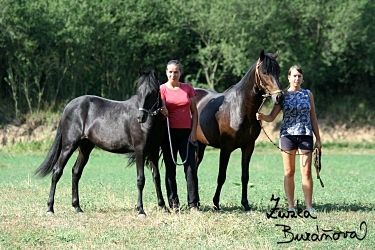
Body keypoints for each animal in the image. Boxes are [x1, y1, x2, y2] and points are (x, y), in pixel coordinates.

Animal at [34, 68, 167, 217]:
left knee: (76, 172)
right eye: (139, 90)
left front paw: (163, 206)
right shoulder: (140, 150)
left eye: (153, 91)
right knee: (57, 171)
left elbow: (157, 177)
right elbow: (140, 179)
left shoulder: (153, 151)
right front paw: (141, 210)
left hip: (85, 147)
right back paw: (50, 208)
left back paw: (77, 207)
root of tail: (68, 106)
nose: (140, 117)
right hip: (68, 146)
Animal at [195, 49, 284, 212]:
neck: (239, 108)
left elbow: (245, 176)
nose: (279, 97)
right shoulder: (226, 148)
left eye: (278, 71)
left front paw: (245, 204)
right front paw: (216, 203)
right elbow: (221, 176)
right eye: (265, 72)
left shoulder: (248, 147)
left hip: (201, 145)